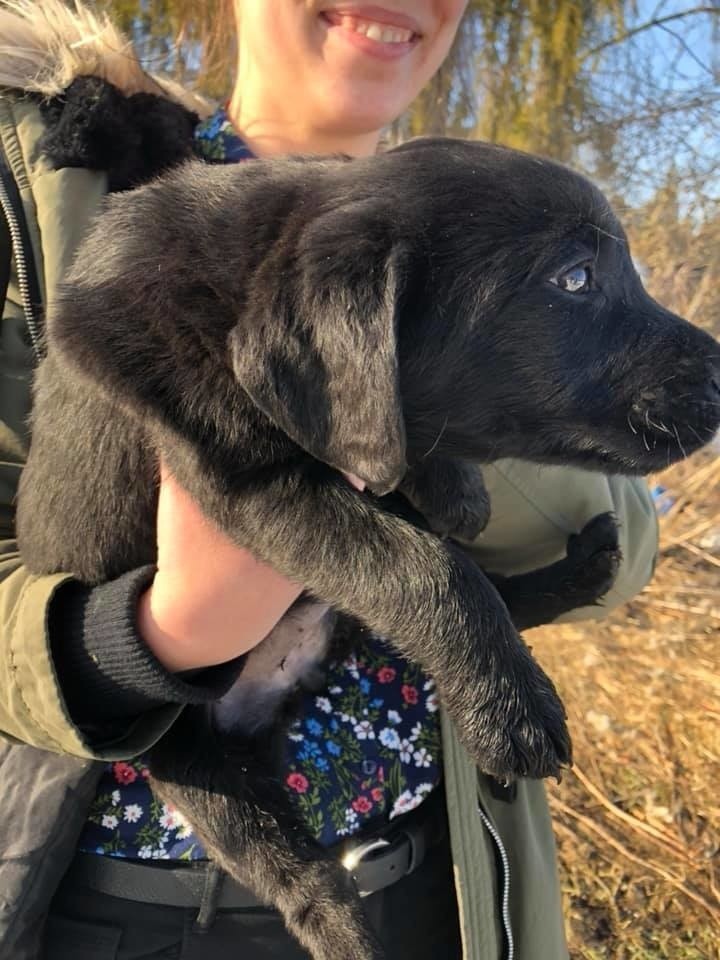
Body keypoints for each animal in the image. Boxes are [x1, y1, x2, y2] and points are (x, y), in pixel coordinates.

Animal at [16, 137, 720, 960]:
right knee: (290, 866)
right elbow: (426, 566)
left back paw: (583, 568)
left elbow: (419, 489)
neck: (234, 281)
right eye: (575, 278)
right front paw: (511, 713)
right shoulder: (251, 484)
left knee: (501, 596)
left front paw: (458, 490)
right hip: (188, 758)